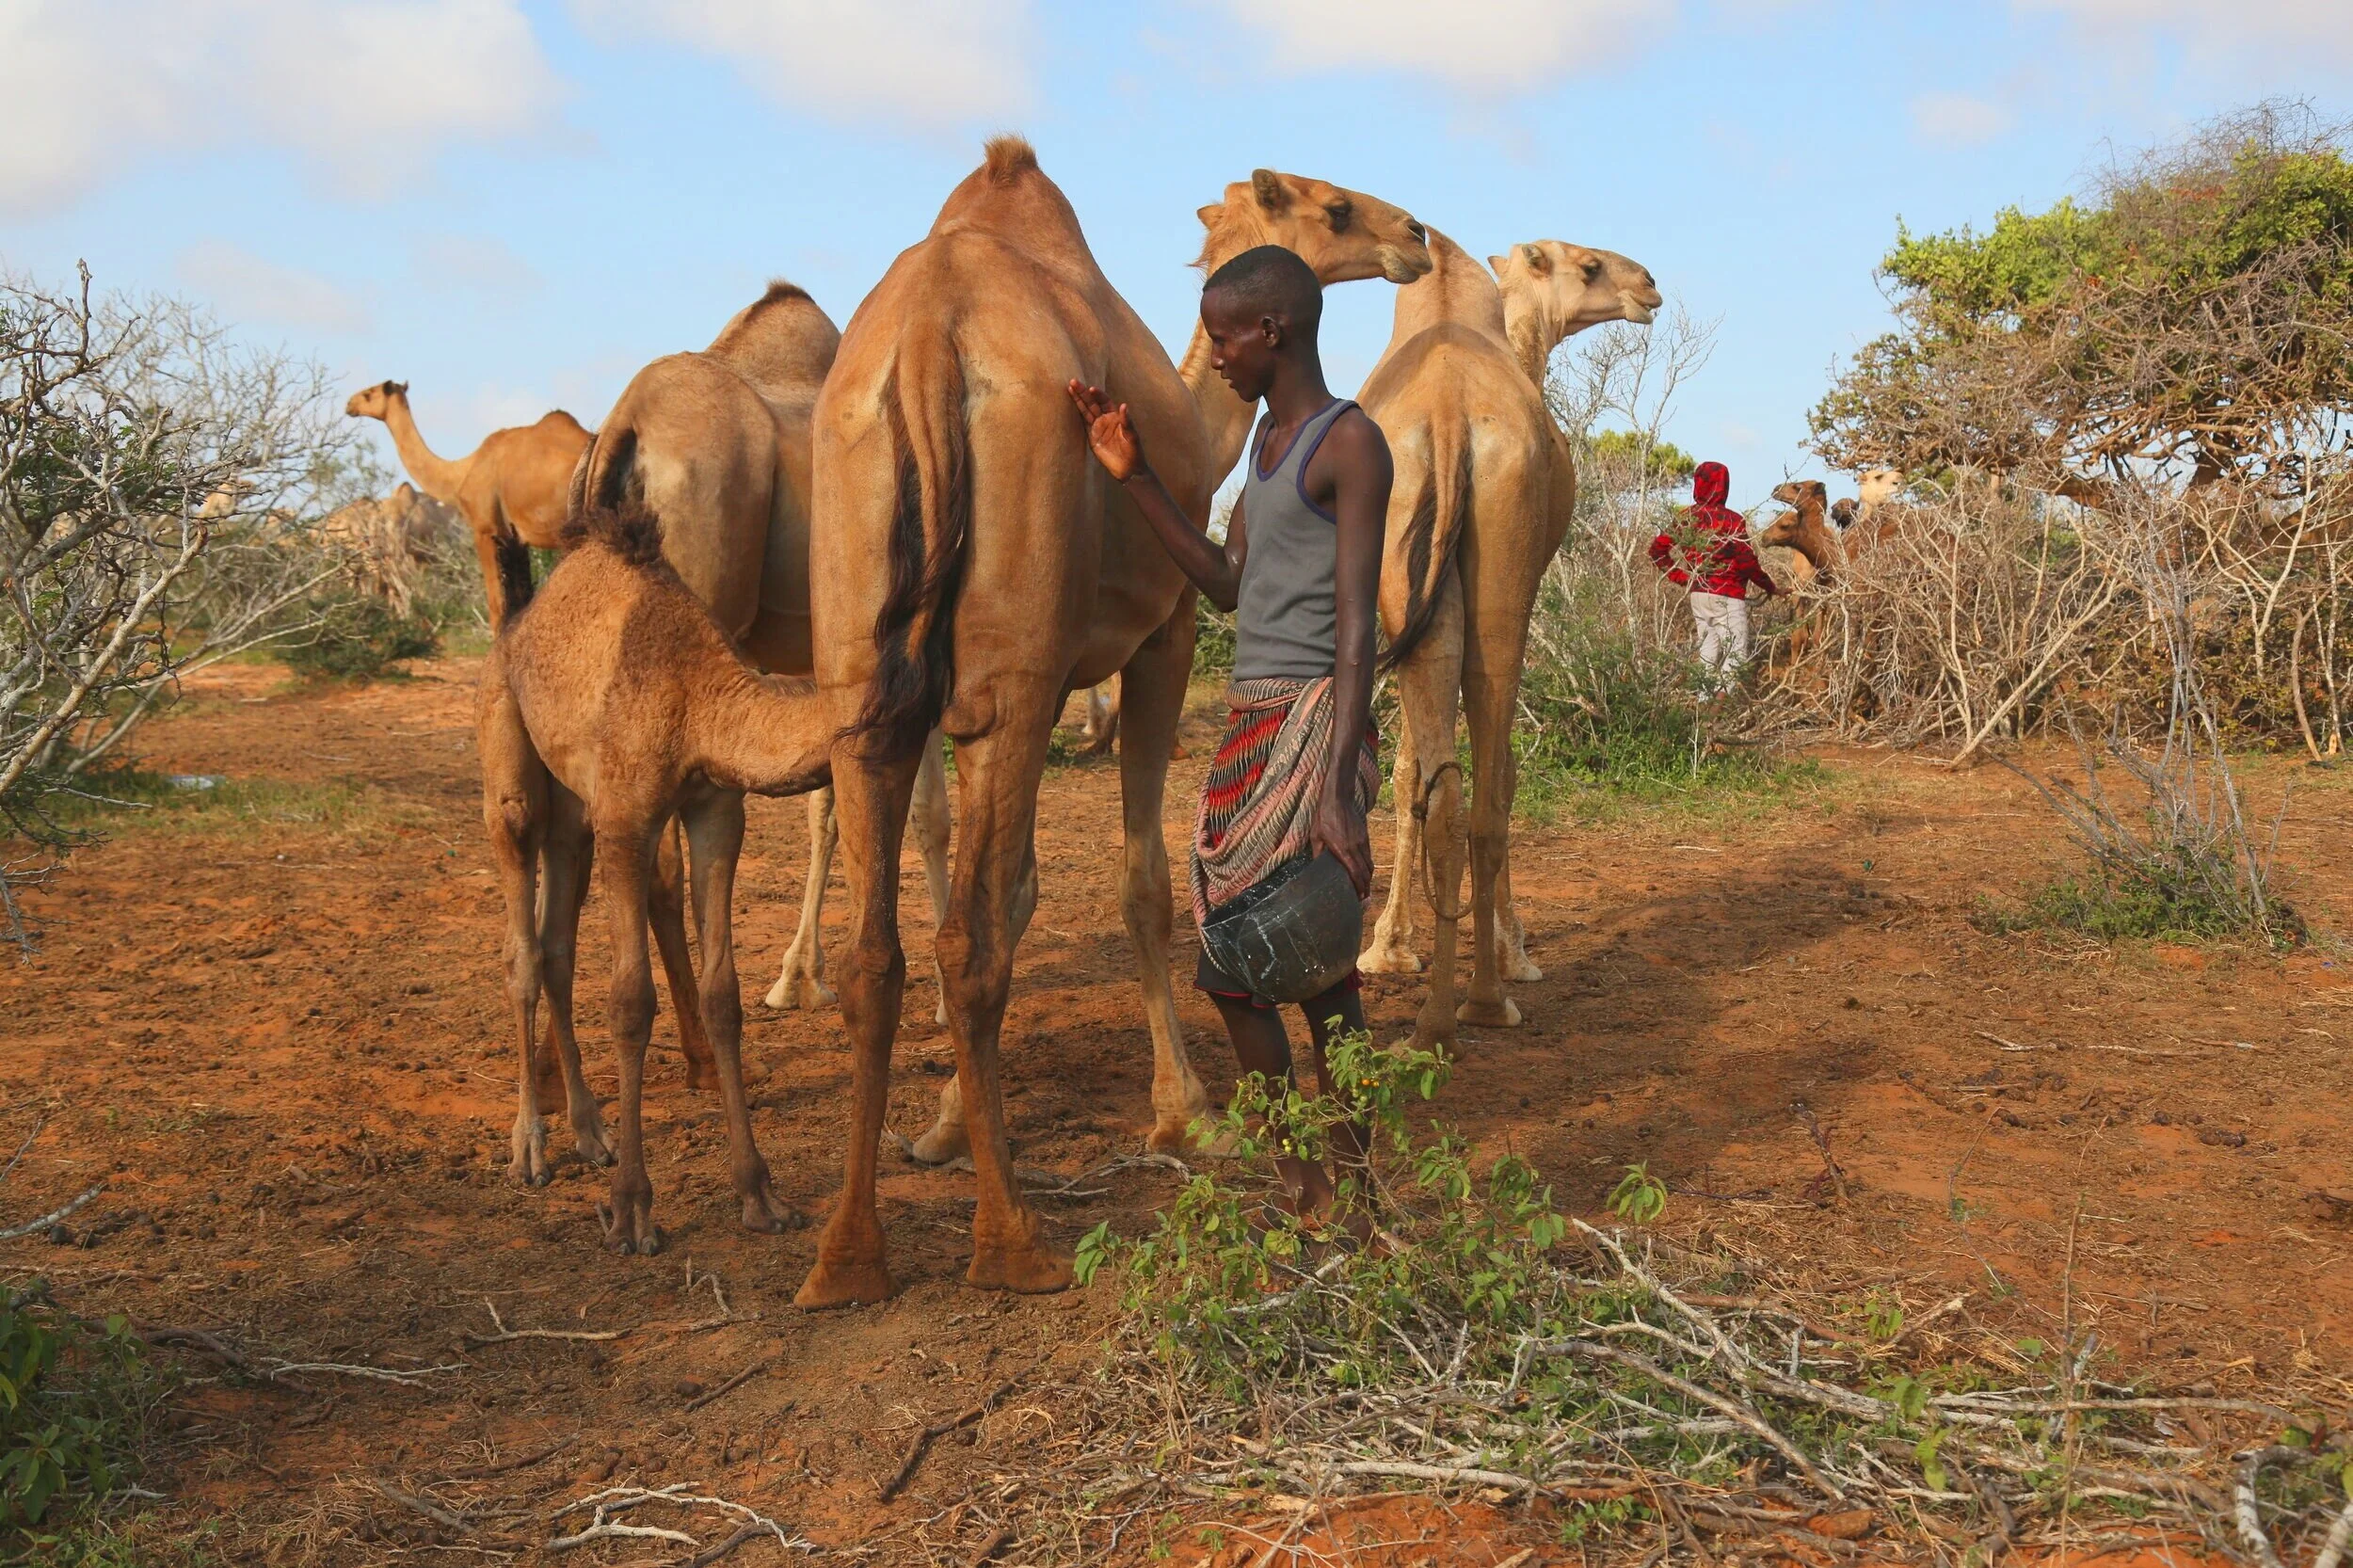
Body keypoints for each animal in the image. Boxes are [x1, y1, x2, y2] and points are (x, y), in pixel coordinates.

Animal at [345, 382, 589, 624]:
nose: (349, 405)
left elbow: (496, 605)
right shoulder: (516, 539)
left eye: (369, 393)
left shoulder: (485, 530)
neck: (460, 473)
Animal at [479, 506, 832, 1252]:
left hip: (573, 817)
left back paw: (591, 1132)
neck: (698, 695)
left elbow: (723, 995)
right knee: (522, 949)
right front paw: (632, 1212)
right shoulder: (626, 821)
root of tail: (515, 624)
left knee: (556, 949)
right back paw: (530, 1148)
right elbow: (631, 1003)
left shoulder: (716, 809)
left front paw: (761, 1195)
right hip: (511, 768)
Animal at [794, 140, 1430, 1307]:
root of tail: (927, 342)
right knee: (965, 940)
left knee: (881, 949)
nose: (1413, 233)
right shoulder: (1155, 636)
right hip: (1011, 660)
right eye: (1331, 207)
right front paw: (1190, 1113)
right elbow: (1133, 883)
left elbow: (1019, 889)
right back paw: (1012, 1245)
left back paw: (847, 1256)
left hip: (861, 657)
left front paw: (943, 1125)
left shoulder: (1007, 681)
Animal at [1356, 236, 1661, 1043]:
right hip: (1503, 576)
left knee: (1449, 794)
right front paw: (1515, 948)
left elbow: (1408, 773)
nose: (1650, 286)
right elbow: (1506, 772)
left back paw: (1439, 1017)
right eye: (1588, 266)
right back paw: (1493, 996)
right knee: (1492, 786)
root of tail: (1448, 415)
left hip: (1411, 559)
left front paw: (1388, 949)